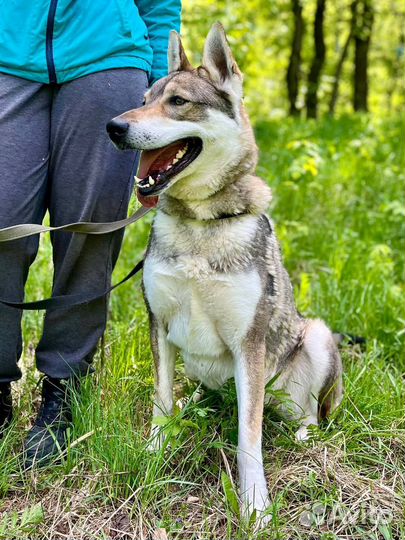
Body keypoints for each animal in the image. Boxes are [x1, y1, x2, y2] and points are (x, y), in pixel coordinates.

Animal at [107, 24, 340, 524]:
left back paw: (305, 437)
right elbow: (160, 403)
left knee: (307, 414)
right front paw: (153, 455)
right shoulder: (158, 323)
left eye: (177, 101)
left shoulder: (248, 342)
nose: (113, 127)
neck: (199, 223)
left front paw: (255, 505)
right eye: (144, 98)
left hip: (314, 337)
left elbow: (248, 435)